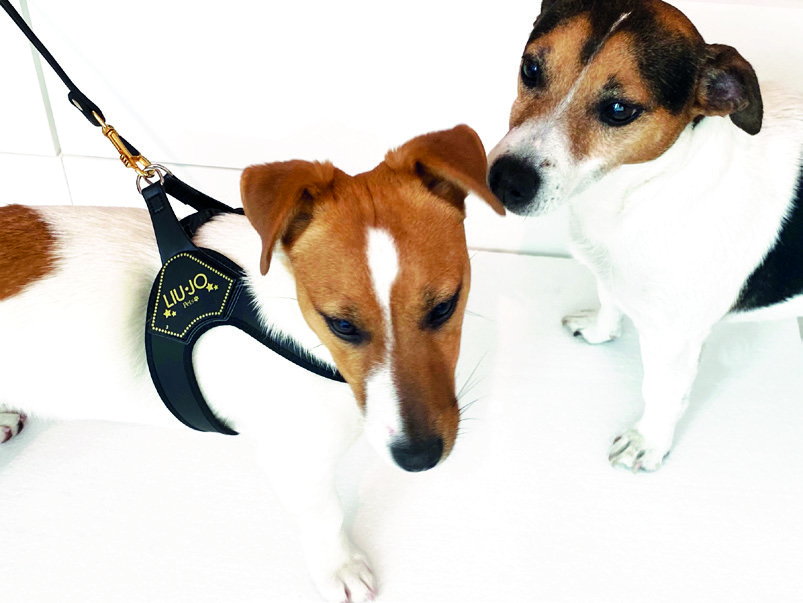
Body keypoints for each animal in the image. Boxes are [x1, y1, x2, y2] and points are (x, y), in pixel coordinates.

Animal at [0, 124, 504, 600]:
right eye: (342, 325)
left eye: (444, 307)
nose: (419, 458)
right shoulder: (295, 460)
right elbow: (325, 517)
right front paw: (339, 569)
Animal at [488, 0, 803, 472]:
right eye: (531, 68)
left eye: (620, 110)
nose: (506, 180)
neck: (641, 192)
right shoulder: (614, 274)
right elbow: (608, 299)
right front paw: (599, 329)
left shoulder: (674, 340)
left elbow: (661, 392)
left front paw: (648, 442)